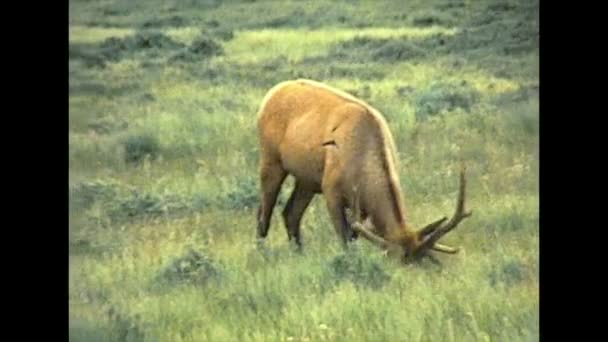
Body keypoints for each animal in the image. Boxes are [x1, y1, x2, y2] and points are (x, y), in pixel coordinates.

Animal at [254, 79, 472, 264]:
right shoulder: (331, 191)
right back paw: (261, 256)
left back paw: (299, 255)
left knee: (290, 214)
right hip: (271, 161)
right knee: (263, 215)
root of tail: (270, 94)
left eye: (422, 262)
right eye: (397, 262)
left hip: (307, 180)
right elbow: (345, 239)